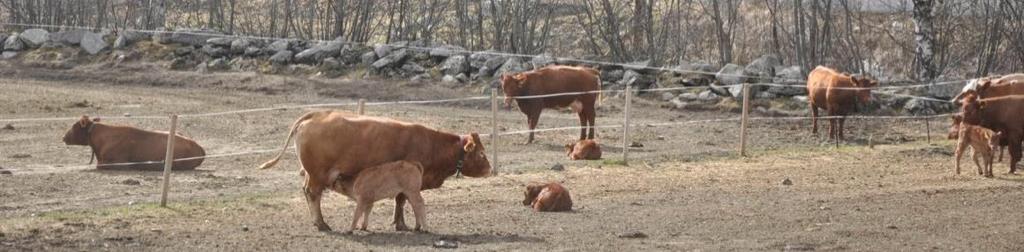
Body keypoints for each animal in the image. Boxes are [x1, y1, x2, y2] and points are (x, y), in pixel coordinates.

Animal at [258, 110, 493, 232]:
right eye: (482, 154)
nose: (490, 169)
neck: (430, 142)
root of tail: (317, 114)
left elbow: (400, 201)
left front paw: (399, 222)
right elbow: (402, 200)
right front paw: (401, 224)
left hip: (311, 174)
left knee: (308, 193)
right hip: (318, 175)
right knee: (313, 195)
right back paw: (322, 224)